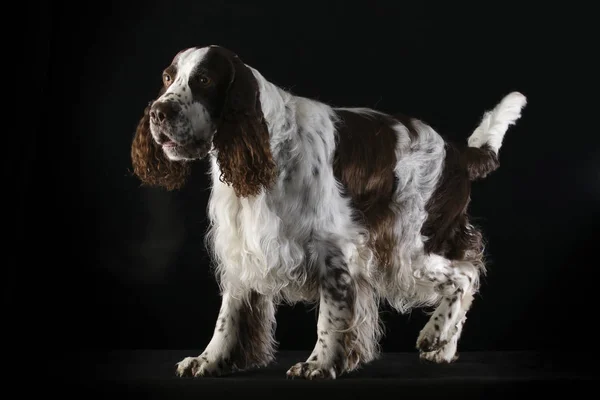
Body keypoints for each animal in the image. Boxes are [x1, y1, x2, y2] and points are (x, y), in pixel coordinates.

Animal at [130, 45, 524, 380]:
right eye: (168, 77)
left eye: (204, 80)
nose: (158, 112)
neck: (268, 146)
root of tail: (458, 153)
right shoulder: (243, 247)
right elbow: (228, 316)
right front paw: (209, 360)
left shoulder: (333, 249)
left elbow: (330, 316)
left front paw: (318, 364)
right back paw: (443, 349)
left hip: (408, 249)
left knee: (466, 275)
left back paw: (434, 335)